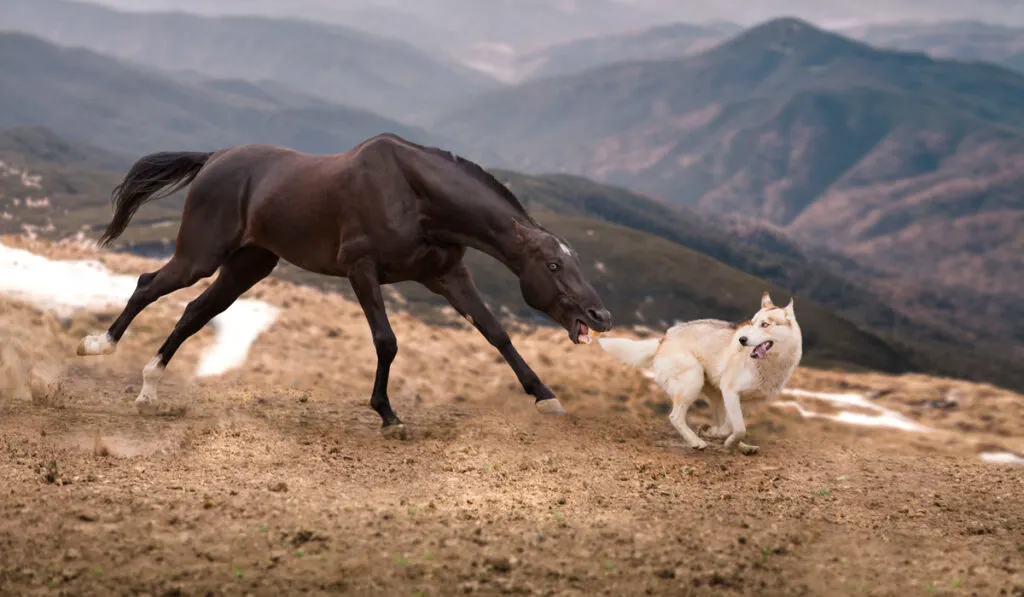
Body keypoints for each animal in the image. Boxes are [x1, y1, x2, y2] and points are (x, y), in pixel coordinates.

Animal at [77, 132, 614, 430]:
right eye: (553, 266)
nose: (601, 315)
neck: (415, 195)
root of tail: (214, 158)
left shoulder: (446, 274)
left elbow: (496, 333)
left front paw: (546, 397)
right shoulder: (362, 269)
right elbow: (386, 340)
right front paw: (388, 414)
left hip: (248, 266)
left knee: (192, 313)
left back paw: (149, 391)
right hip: (201, 255)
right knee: (149, 284)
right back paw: (99, 346)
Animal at [598, 292, 798, 454]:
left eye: (765, 324)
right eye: (752, 323)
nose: (742, 340)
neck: (771, 365)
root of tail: (664, 338)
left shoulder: (746, 401)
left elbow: (735, 426)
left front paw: (724, 438)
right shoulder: (730, 391)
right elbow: (738, 428)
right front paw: (718, 436)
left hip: (714, 394)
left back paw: (741, 446)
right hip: (693, 382)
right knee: (675, 417)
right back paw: (697, 442)